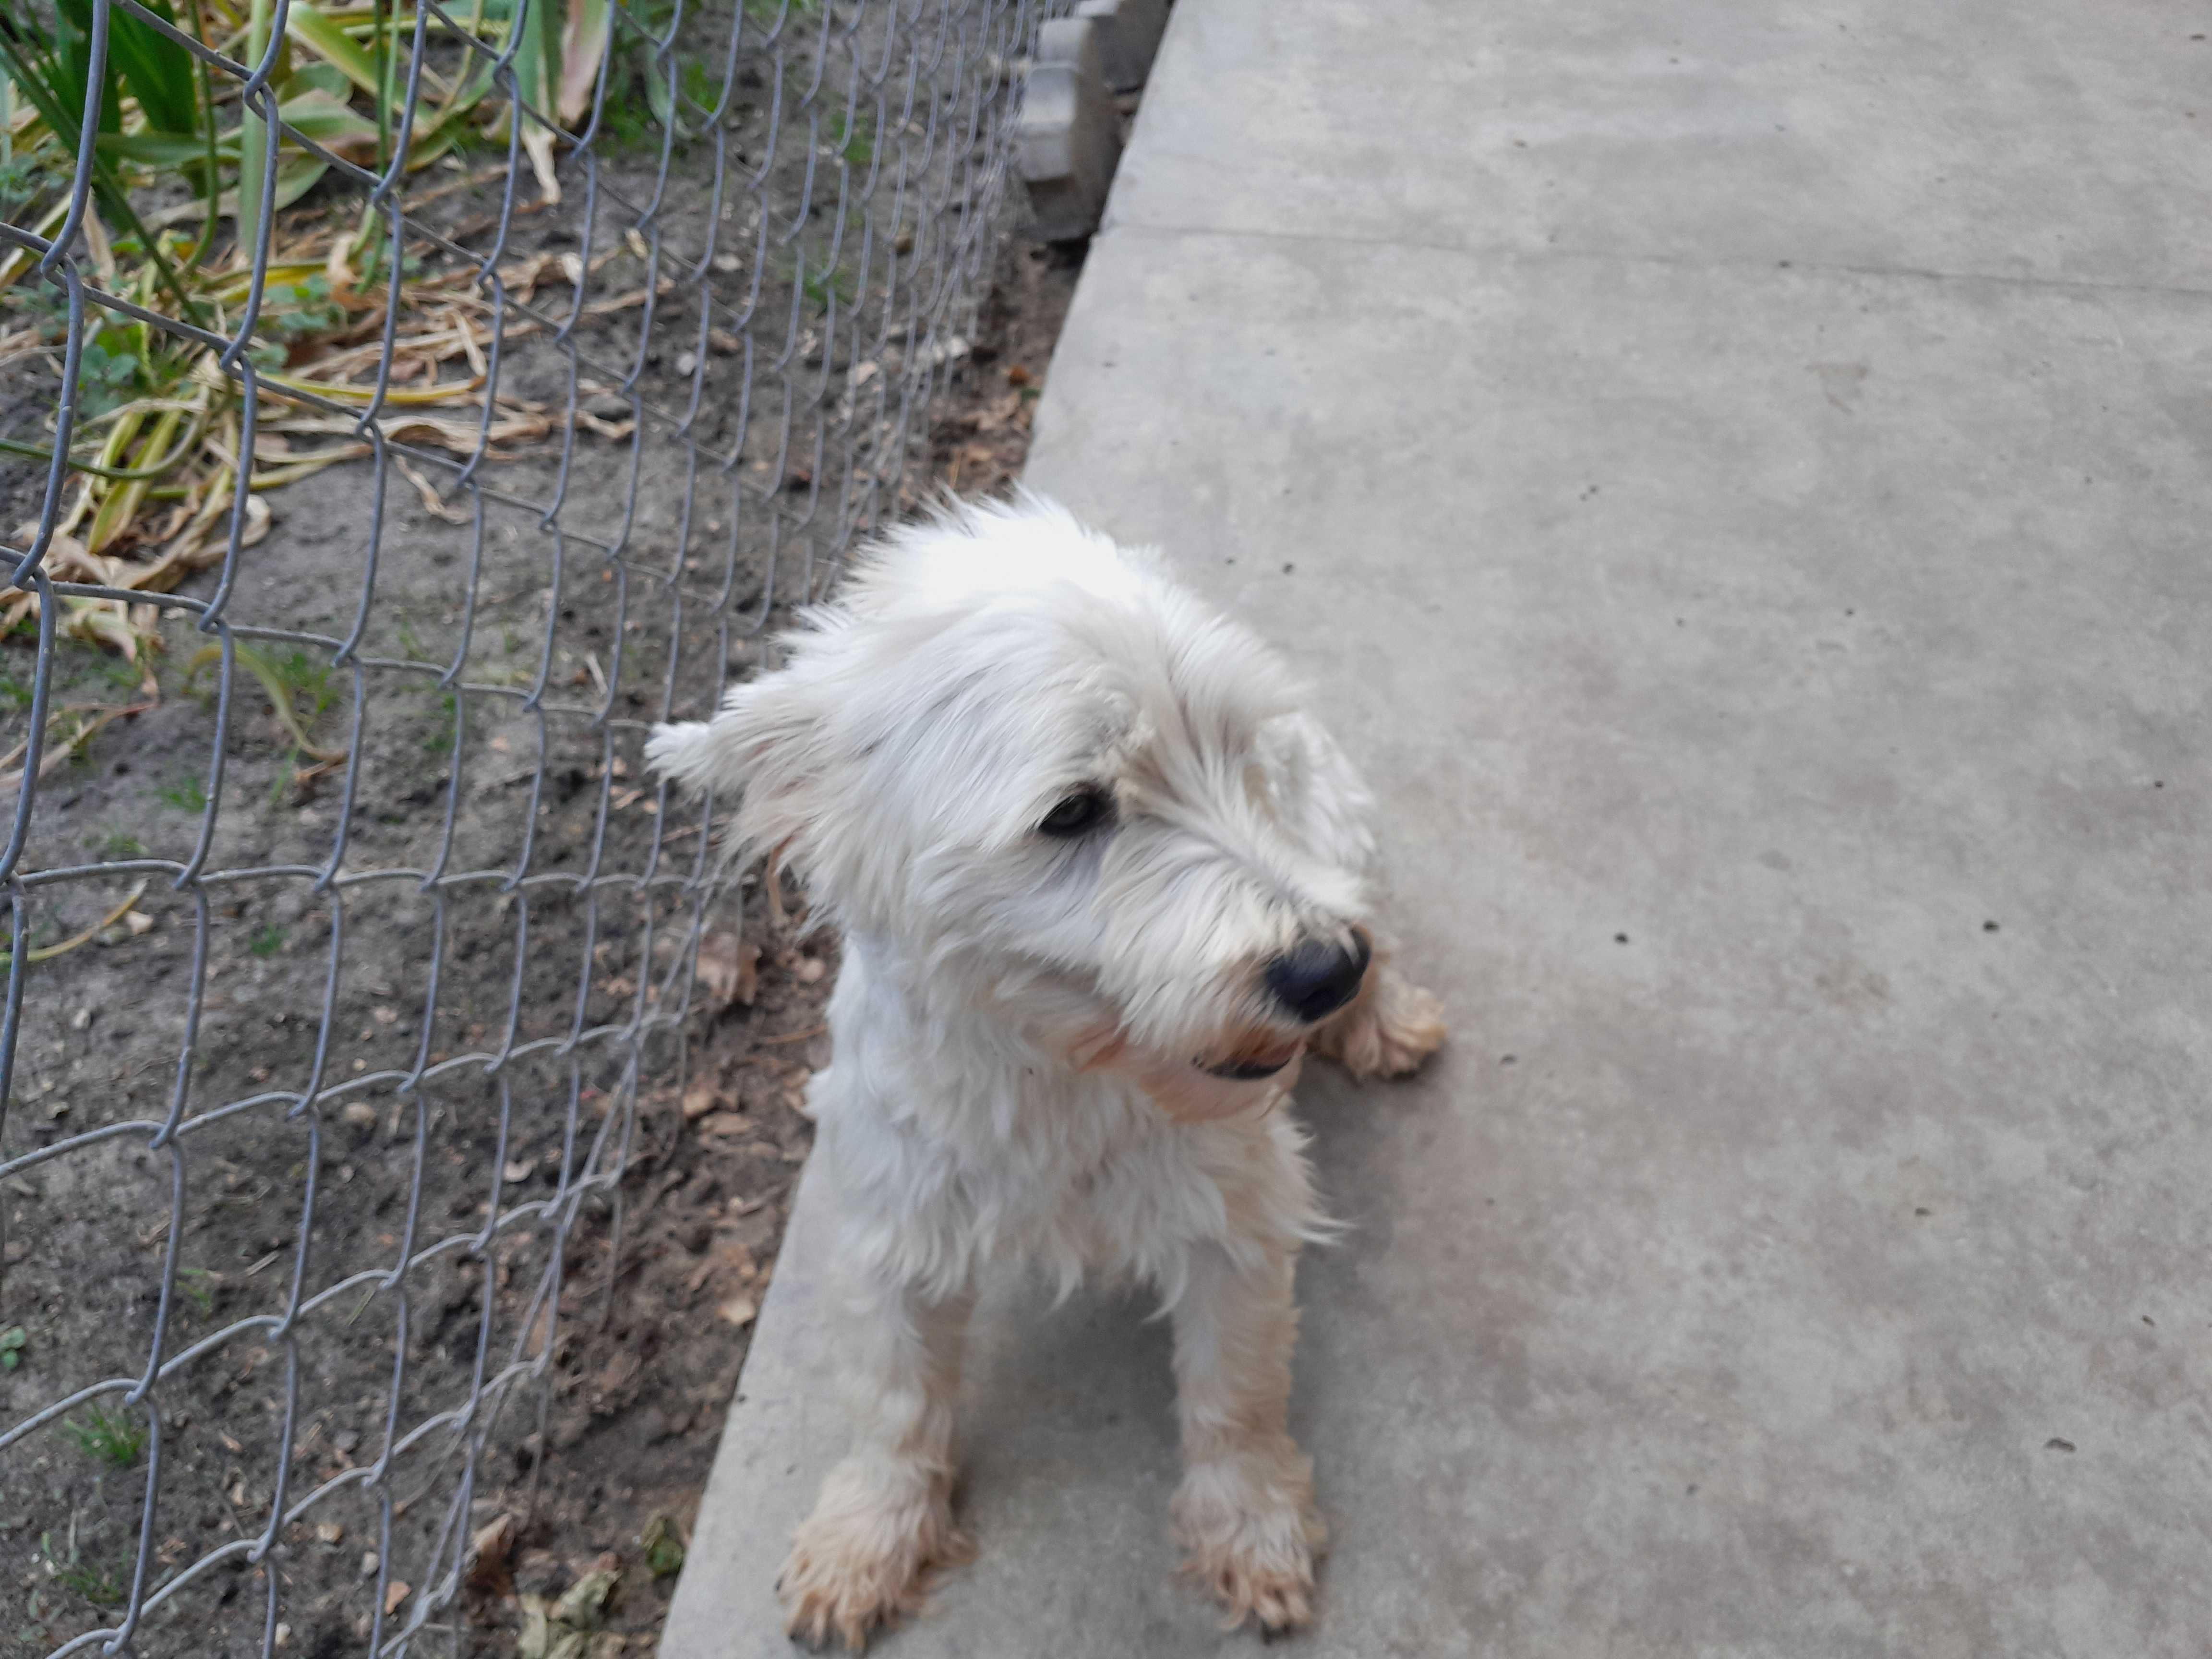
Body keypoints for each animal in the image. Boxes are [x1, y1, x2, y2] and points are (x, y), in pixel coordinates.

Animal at [650, 497, 1451, 1654]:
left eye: (1234, 748)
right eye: (1073, 811)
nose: (1321, 972)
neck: (1059, 1074)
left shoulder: (1235, 1220)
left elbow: (1236, 1393)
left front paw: (1250, 1523)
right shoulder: (896, 1219)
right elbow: (894, 1395)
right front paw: (869, 1533)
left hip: (1335, 829)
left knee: (1373, 905)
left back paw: (1386, 1016)